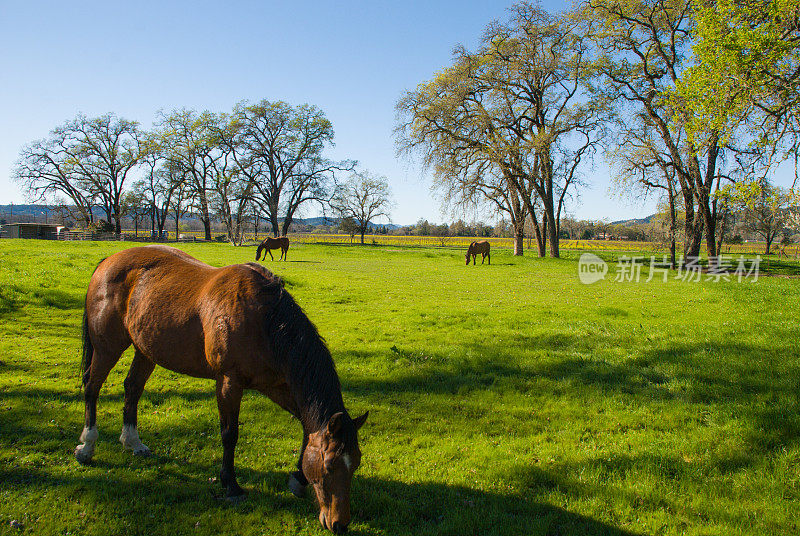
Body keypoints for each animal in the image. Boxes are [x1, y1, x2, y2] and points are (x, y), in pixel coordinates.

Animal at [73, 246, 368, 532]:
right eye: (329, 465)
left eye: (356, 462)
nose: (339, 524)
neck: (264, 320)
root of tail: (108, 261)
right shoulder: (229, 382)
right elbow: (229, 434)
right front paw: (231, 485)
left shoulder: (275, 385)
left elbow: (307, 429)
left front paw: (297, 478)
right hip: (107, 347)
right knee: (92, 387)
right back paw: (87, 446)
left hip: (145, 349)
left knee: (132, 388)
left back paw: (132, 441)